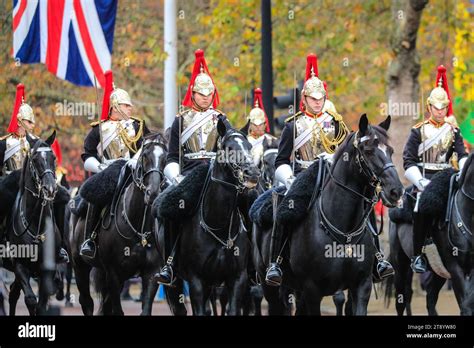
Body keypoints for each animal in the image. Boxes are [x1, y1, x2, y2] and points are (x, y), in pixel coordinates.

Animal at [5, 130, 63, 316]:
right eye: (35, 160)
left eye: (53, 157)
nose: (49, 189)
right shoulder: (20, 266)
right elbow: (31, 300)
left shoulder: (47, 269)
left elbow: (42, 304)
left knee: (13, 292)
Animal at [158, 120, 262, 316]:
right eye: (229, 148)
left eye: (249, 146)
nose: (252, 173)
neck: (219, 226)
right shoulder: (197, 281)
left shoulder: (237, 279)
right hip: (177, 283)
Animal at [254, 115, 402, 316]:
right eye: (369, 150)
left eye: (391, 151)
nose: (396, 191)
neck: (344, 229)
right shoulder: (312, 290)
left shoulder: (362, 286)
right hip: (269, 284)